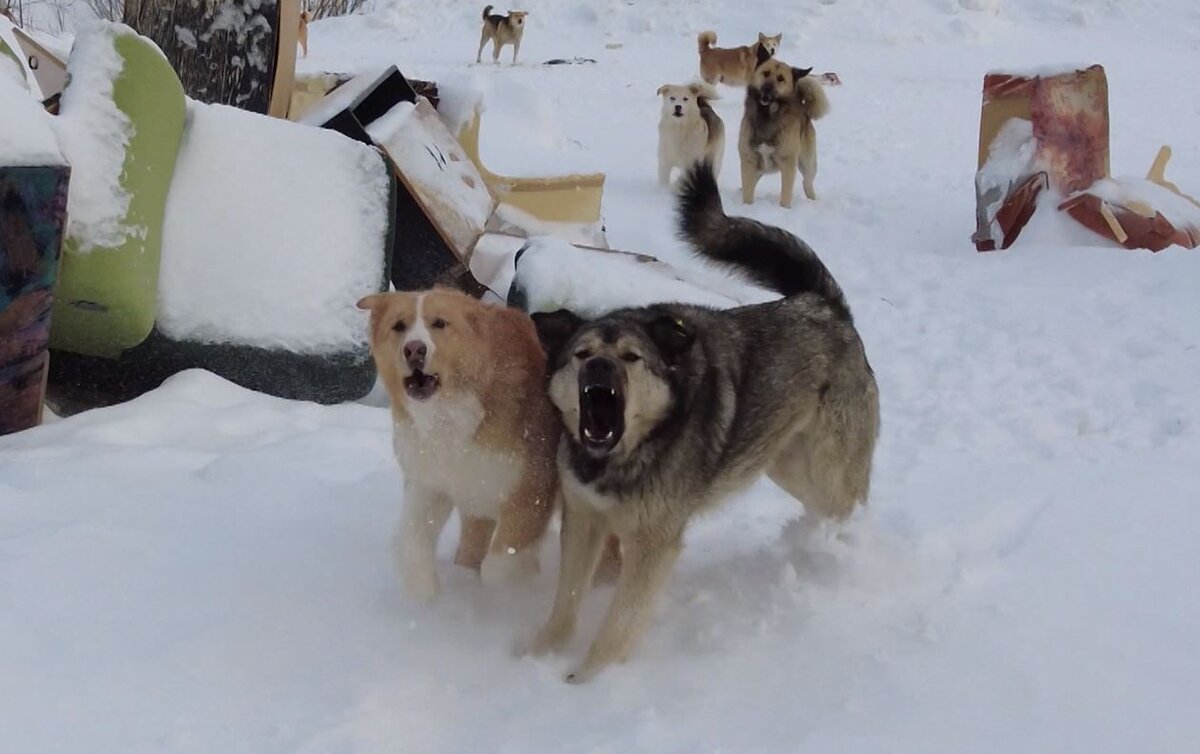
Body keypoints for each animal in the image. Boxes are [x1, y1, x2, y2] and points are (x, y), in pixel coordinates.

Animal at [357, 288, 559, 600]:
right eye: (399, 326)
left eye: (440, 323)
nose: (414, 350)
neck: (451, 416)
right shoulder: (431, 485)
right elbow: (412, 543)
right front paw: (429, 596)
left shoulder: (530, 492)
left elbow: (499, 568)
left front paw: (515, 592)